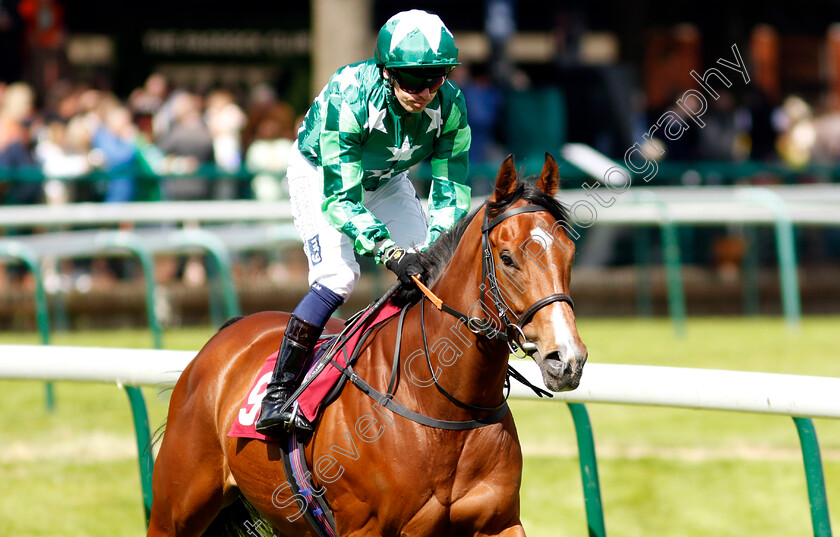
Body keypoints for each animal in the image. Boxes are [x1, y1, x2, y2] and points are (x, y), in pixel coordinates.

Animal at [148, 153, 588, 532]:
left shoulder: (500, 522)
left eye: (570, 251)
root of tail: (225, 335)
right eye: (508, 258)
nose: (567, 359)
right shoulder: (365, 528)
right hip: (174, 511)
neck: (444, 406)